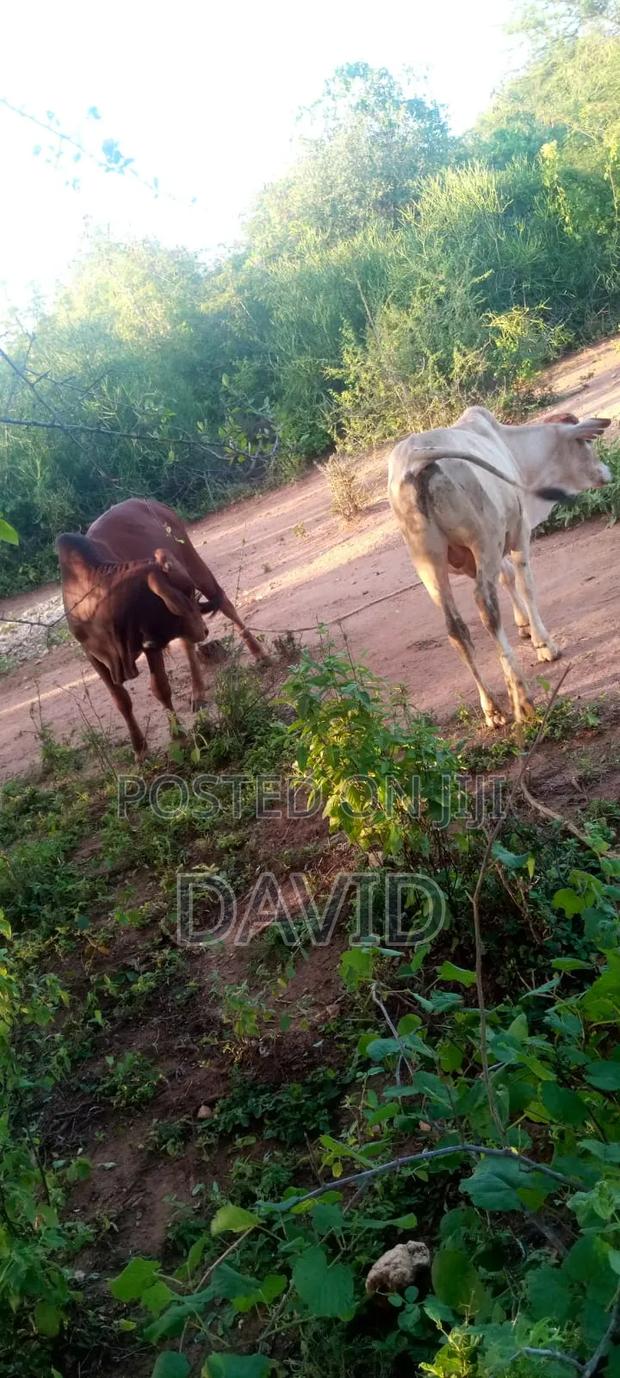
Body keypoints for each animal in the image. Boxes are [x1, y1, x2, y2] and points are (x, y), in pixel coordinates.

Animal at [56, 497, 267, 757]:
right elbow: (121, 700)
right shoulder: (94, 655)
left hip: (195, 564)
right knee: (187, 644)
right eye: (185, 594)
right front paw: (140, 749)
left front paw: (179, 737)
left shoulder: (150, 643)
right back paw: (198, 691)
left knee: (226, 605)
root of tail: (152, 503)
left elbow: (160, 688)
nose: (204, 630)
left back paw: (260, 654)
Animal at [388, 407, 611, 728]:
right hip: (484, 540)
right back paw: (523, 700)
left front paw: (524, 626)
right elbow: (525, 583)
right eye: (586, 444)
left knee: (455, 628)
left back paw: (492, 707)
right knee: (486, 606)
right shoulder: (518, 532)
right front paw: (544, 644)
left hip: (429, 561)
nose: (606, 472)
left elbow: (507, 578)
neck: (511, 447)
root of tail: (415, 459)